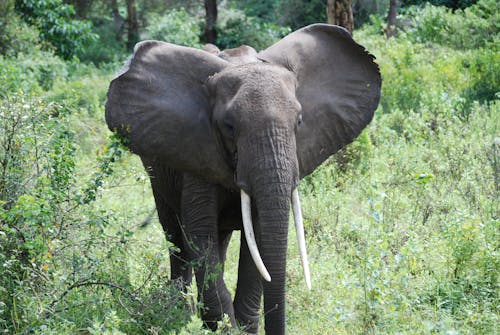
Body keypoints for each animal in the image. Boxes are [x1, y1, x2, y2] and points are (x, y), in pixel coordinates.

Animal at [104, 24, 378, 335]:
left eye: (298, 122)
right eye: (229, 127)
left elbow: (257, 241)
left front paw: (241, 326)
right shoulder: (197, 152)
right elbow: (201, 232)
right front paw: (222, 326)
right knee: (175, 234)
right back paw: (178, 310)